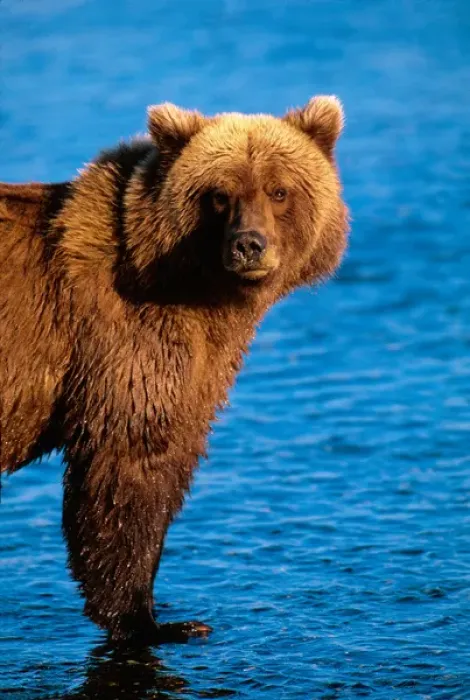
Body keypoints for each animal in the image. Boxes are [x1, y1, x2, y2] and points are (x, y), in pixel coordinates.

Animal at [0, 97, 348, 644]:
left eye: (279, 190)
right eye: (220, 195)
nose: (249, 245)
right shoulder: (126, 344)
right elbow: (129, 468)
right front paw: (155, 621)